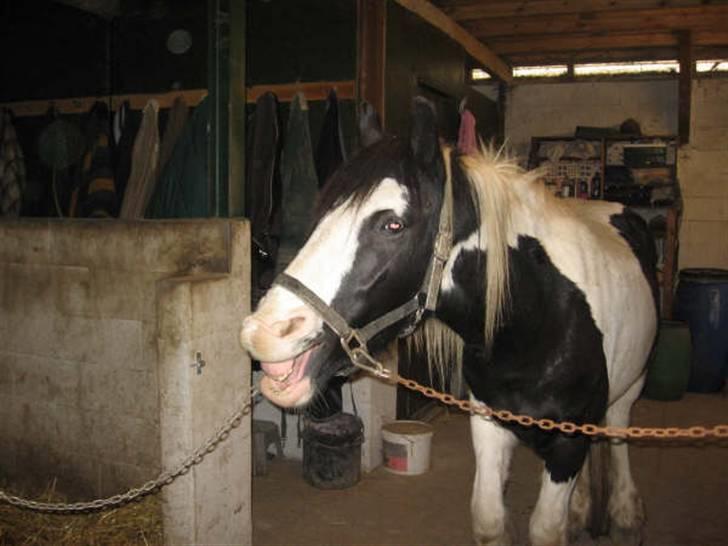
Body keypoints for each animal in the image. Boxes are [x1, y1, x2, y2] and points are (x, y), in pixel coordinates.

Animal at [240, 99, 660, 544]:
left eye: (393, 224)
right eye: (321, 214)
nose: (261, 333)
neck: (537, 320)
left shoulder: (568, 441)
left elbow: (546, 528)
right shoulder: (490, 423)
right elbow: (490, 519)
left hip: (630, 387)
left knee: (619, 434)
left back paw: (626, 516)